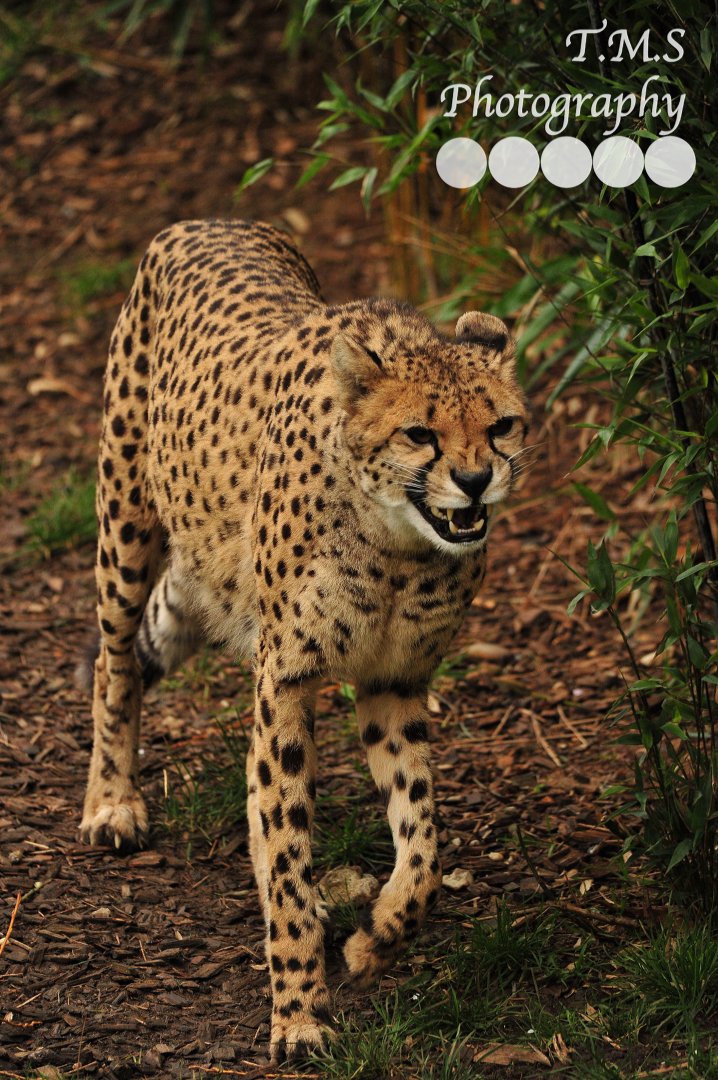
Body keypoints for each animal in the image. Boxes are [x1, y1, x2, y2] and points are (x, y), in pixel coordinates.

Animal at [78, 218, 529, 1061]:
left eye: (501, 424)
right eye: (420, 432)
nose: (477, 481)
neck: (396, 547)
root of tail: (204, 221)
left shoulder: (395, 682)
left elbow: (423, 838)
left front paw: (378, 935)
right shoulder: (284, 680)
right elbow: (285, 837)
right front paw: (298, 1014)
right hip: (125, 523)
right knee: (113, 665)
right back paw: (112, 802)